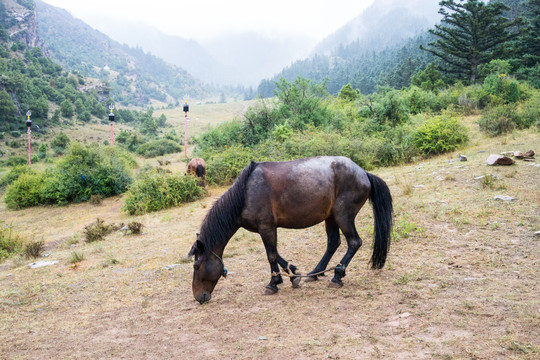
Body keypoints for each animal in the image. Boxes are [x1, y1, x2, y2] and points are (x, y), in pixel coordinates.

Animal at [187, 157, 392, 304]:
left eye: (196, 266)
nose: (198, 297)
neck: (245, 193)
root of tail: (363, 173)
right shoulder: (265, 229)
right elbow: (276, 254)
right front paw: (293, 274)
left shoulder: (266, 227)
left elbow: (271, 255)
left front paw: (273, 283)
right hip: (331, 217)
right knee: (333, 243)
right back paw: (314, 273)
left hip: (343, 216)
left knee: (354, 242)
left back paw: (337, 275)